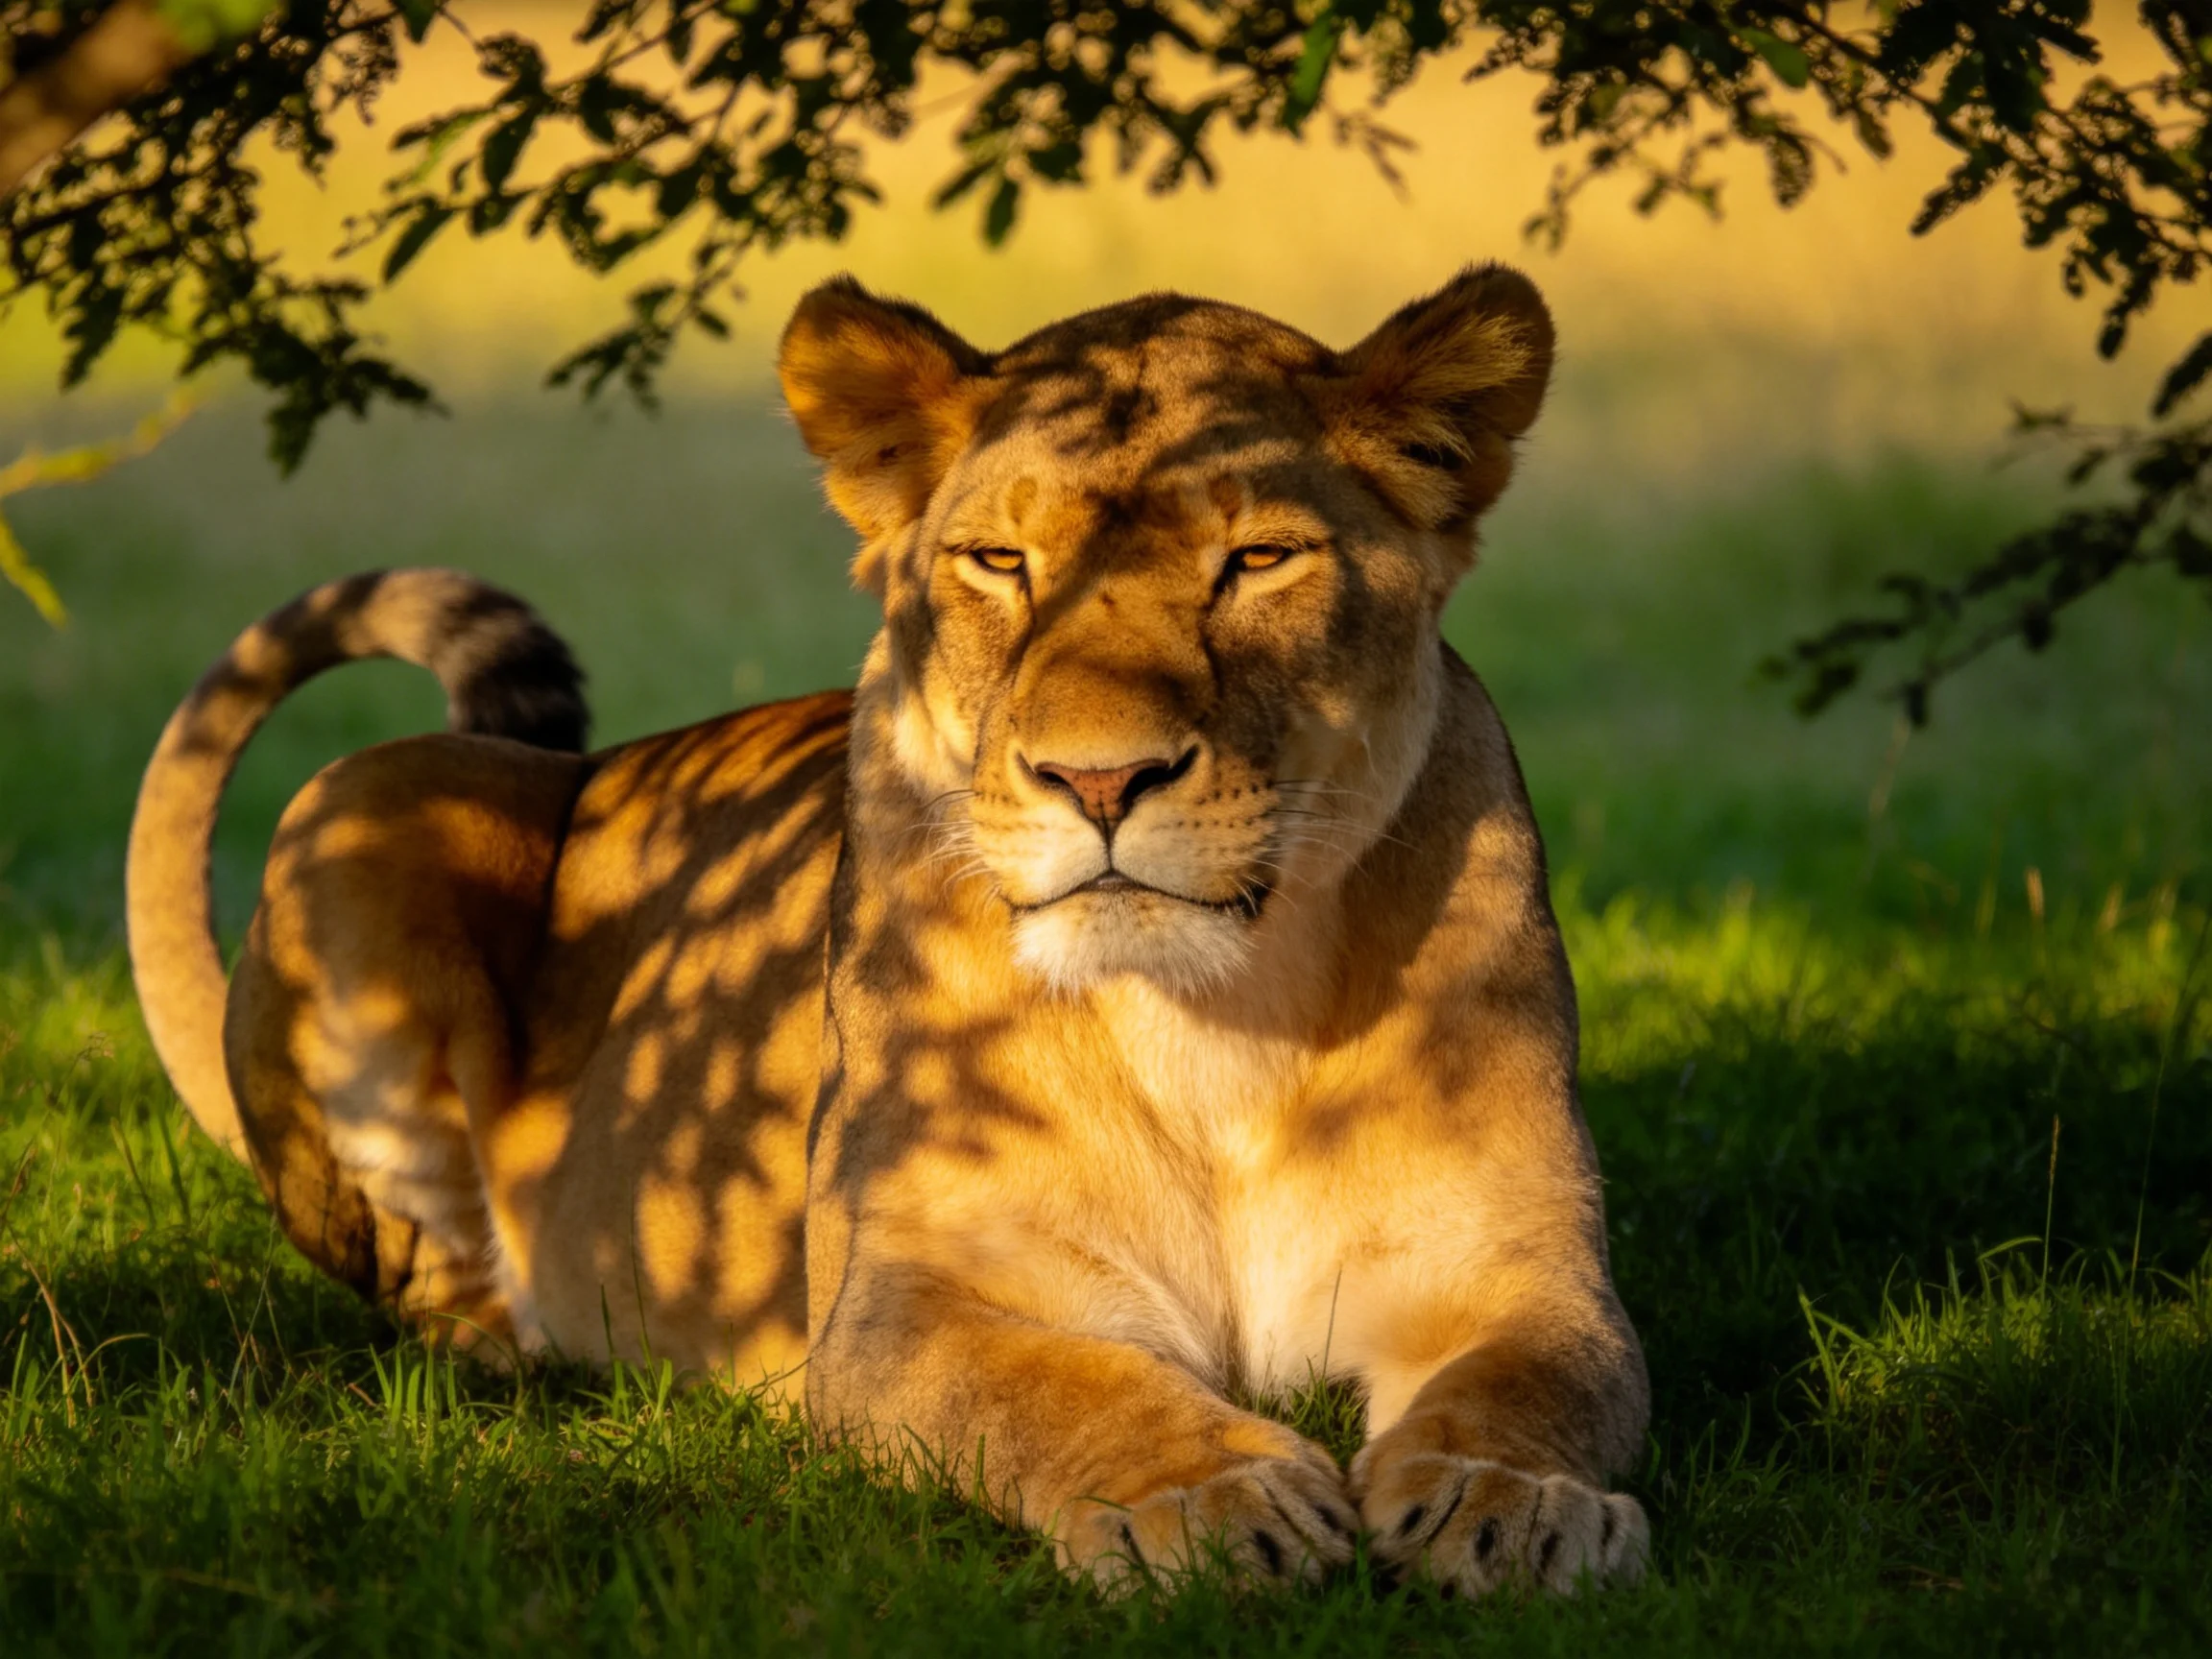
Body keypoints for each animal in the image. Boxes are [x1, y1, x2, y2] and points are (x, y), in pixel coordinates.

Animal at [126, 265, 1650, 1596]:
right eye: (999, 561)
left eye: (1259, 559)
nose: (1102, 781)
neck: (1216, 1017)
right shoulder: (894, 1303)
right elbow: (1061, 1385)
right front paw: (1212, 1502)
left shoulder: (1524, 1266)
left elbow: (1540, 1382)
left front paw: (1514, 1505)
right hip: (374, 789)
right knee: (437, 1295)